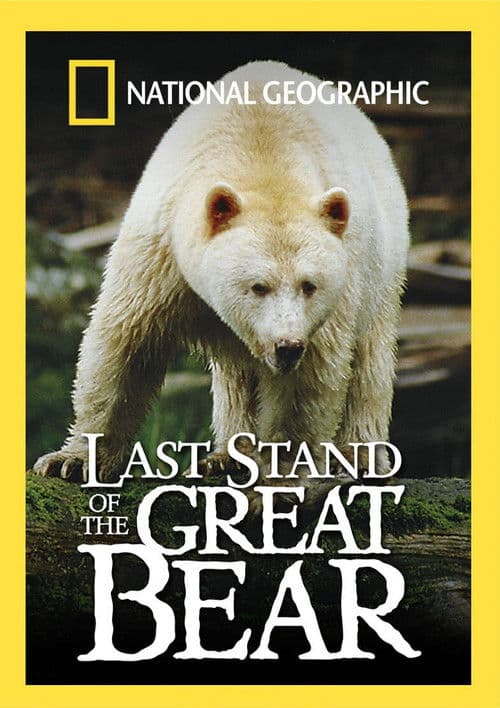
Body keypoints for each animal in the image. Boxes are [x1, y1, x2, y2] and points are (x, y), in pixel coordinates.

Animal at [33, 60, 409, 485]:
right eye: (258, 286)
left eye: (309, 285)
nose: (287, 346)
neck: (262, 156)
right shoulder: (161, 253)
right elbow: (124, 348)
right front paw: (72, 460)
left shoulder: (330, 307)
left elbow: (307, 383)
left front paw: (280, 477)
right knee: (237, 376)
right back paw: (228, 455)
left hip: (381, 268)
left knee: (369, 363)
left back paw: (358, 459)